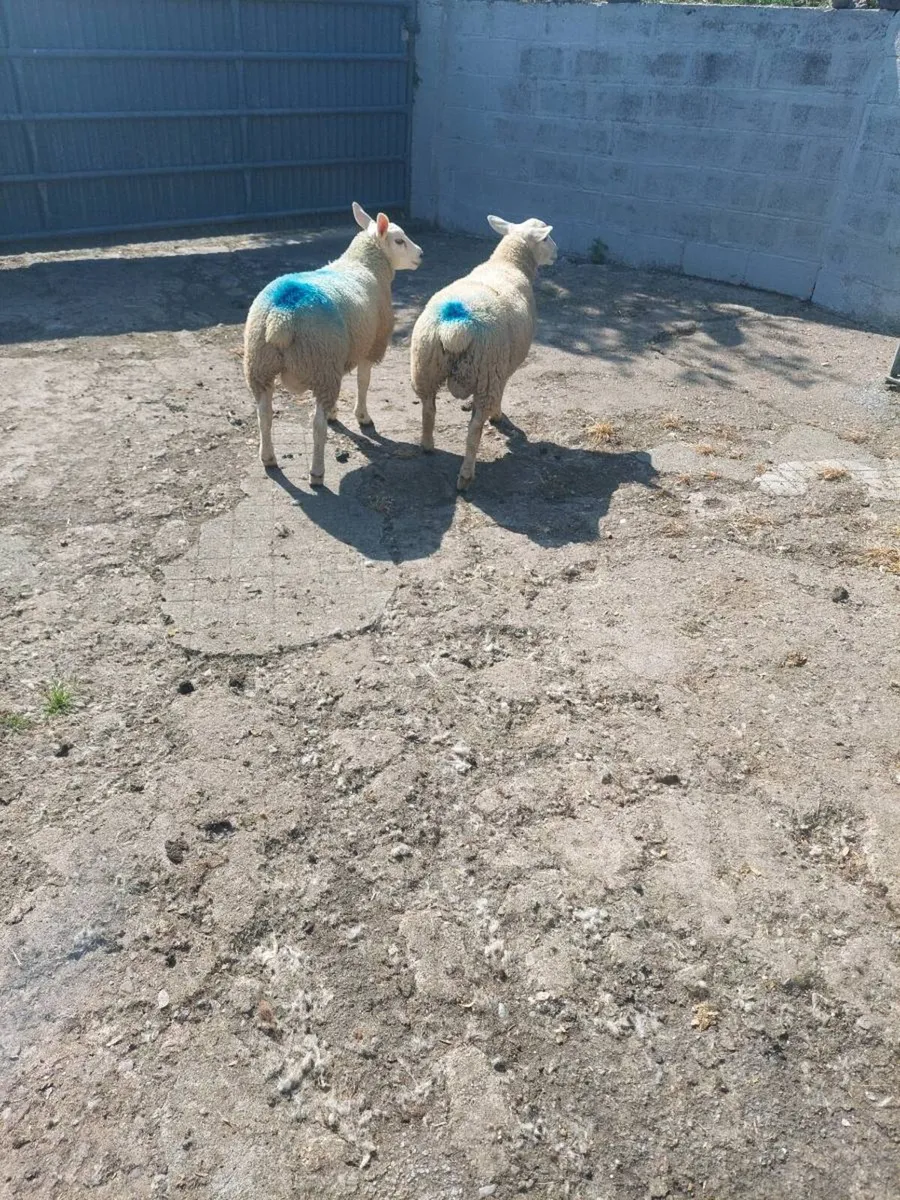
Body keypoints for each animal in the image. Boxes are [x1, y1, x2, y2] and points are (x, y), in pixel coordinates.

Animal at [244, 201, 422, 486]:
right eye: (399, 240)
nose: (421, 255)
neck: (364, 264)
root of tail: (280, 318)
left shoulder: (344, 351)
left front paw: (335, 412)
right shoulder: (369, 346)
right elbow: (363, 382)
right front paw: (363, 417)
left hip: (261, 364)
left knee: (264, 415)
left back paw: (269, 458)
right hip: (321, 362)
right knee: (316, 427)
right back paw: (317, 472)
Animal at [409, 214, 557, 491]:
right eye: (545, 238)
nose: (557, 252)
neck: (508, 263)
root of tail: (455, 327)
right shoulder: (504, 368)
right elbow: (503, 393)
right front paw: (499, 416)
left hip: (425, 367)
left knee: (428, 409)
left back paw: (427, 446)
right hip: (487, 372)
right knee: (474, 429)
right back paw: (466, 476)